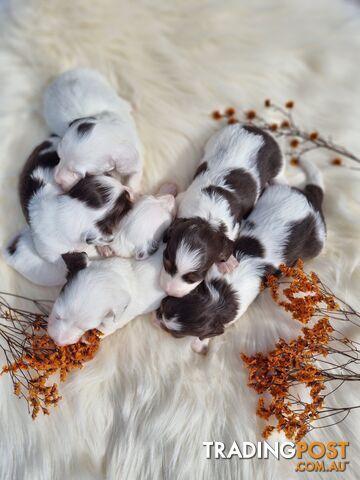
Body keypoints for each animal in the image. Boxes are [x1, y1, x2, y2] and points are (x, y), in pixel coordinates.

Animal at [156, 159, 324, 354]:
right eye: (162, 304)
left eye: (175, 335)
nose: (155, 317)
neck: (219, 295)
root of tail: (311, 200)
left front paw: (199, 344)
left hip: (317, 243)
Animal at [159, 124, 282, 296]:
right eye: (165, 260)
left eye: (194, 277)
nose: (168, 291)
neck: (207, 217)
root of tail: (258, 130)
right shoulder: (184, 198)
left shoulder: (234, 225)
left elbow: (228, 243)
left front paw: (227, 262)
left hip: (278, 163)